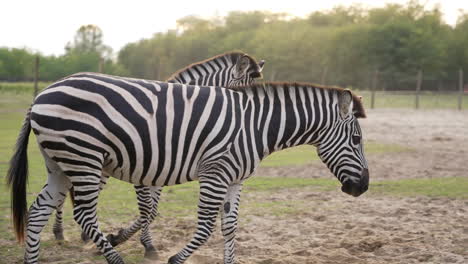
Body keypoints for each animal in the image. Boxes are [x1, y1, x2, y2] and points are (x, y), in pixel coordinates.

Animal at [7, 75, 370, 262]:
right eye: (356, 139)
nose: (363, 187)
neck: (256, 127)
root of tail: (42, 93)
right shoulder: (216, 172)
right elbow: (207, 226)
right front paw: (174, 259)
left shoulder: (236, 179)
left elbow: (230, 227)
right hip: (84, 157)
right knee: (83, 215)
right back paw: (115, 258)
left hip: (60, 163)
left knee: (38, 212)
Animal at [49, 50, 266, 256]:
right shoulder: (143, 167)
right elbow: (147, 209)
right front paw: (146, 245)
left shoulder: (161, 172)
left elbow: (152, 211)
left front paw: (120, 237)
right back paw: (59, 232)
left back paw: (81, 235)